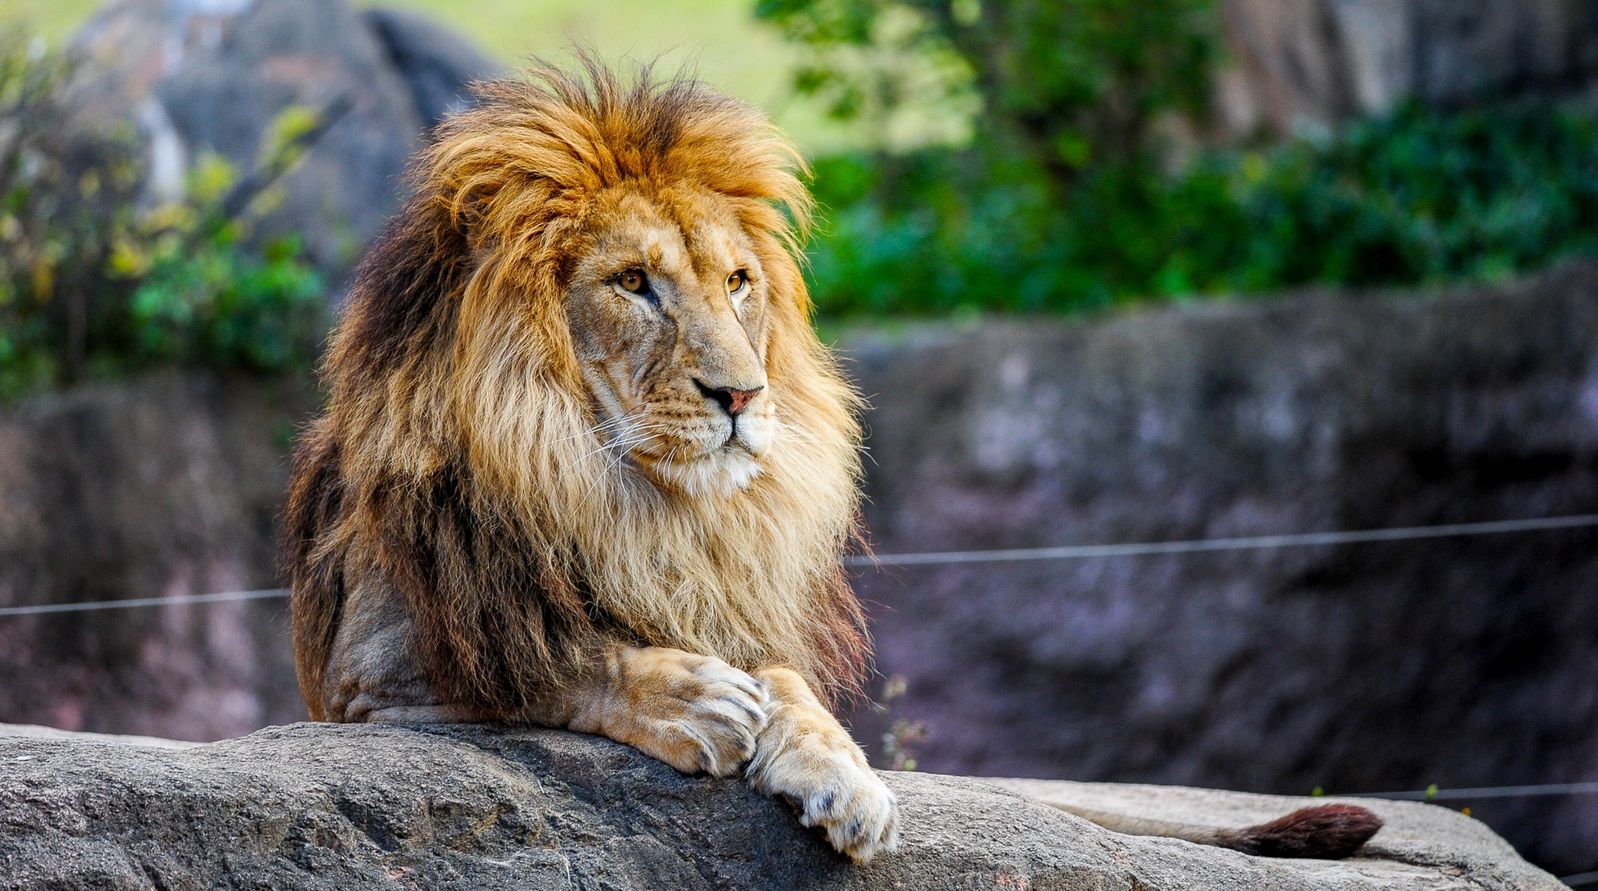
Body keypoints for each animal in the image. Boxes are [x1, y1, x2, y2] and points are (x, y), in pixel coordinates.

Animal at [281, 57, 1380, 868]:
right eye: (632, 283)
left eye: (737, 283)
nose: (740, 397)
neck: (628, 498)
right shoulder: (375, 675)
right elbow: (548, 665)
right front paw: (696, 699)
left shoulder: (729, 599)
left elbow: (788, 682)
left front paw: (842, 774)